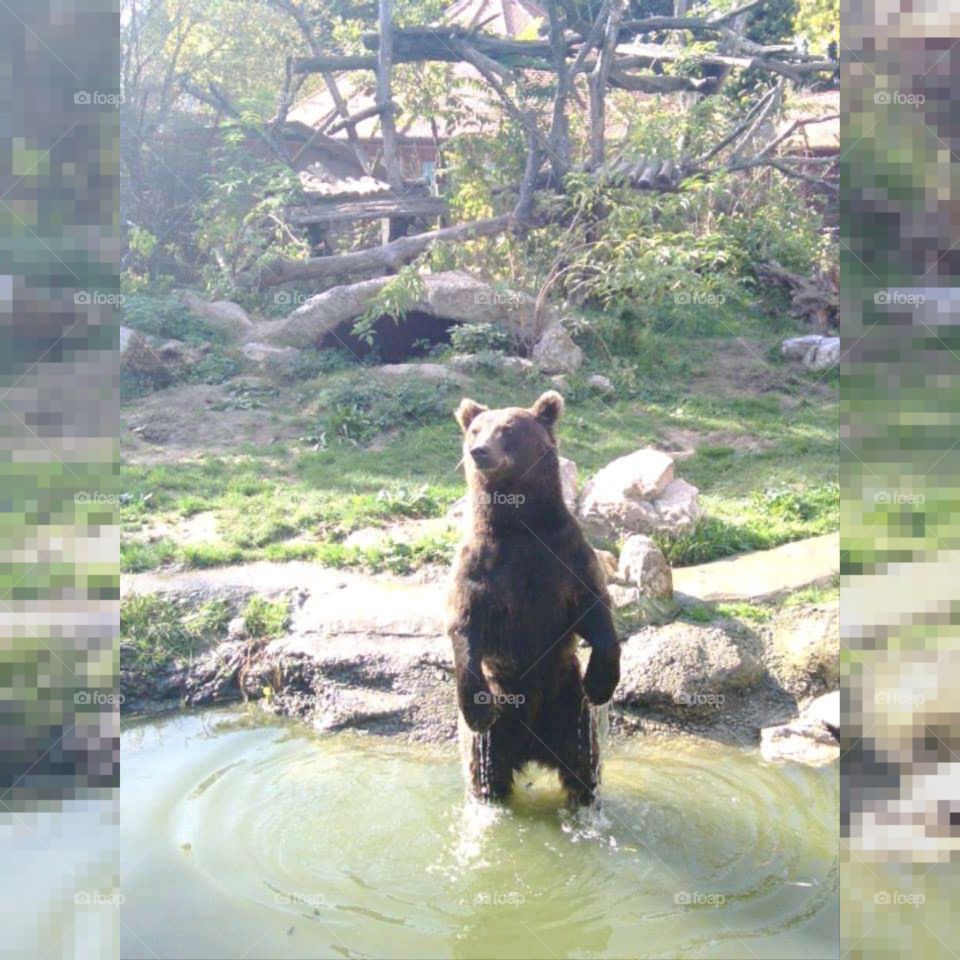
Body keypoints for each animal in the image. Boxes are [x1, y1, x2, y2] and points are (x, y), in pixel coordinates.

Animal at [446, 390, 621, 806]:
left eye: (508, 428)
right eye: (475, 429)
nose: (479, 451)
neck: (520, 525)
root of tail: (532, 746)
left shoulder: (565, 555)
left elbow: (594, 609)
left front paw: (601, 682)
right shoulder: (482, 565)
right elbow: (465, 623)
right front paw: (476, 708)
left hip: (568, 706)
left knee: (583, 766)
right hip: (500, 722)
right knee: (487, 773)